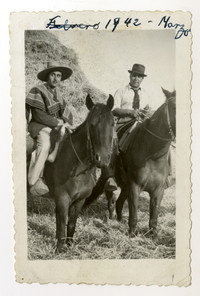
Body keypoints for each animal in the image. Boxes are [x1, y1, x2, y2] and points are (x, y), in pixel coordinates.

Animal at [44, 95, 115, 252]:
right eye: (92, 124)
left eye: (113, 123)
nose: (102, 159)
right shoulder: (62, 198)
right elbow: (61, 225)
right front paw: (60, 249)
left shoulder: (79, 200)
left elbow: (71, 224)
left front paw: (70, 245)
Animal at [85, 89, 176, 237]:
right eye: (174, 107)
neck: (152, 155)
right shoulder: (135, 186)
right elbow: (133, 214)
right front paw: (132, 234)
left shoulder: (158, 190)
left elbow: (154, 217)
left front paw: (152, 235)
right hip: (112, 178)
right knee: (111, 199)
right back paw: (111, 218)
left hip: (125, 186)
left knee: (119, 202)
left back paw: (119, 220)